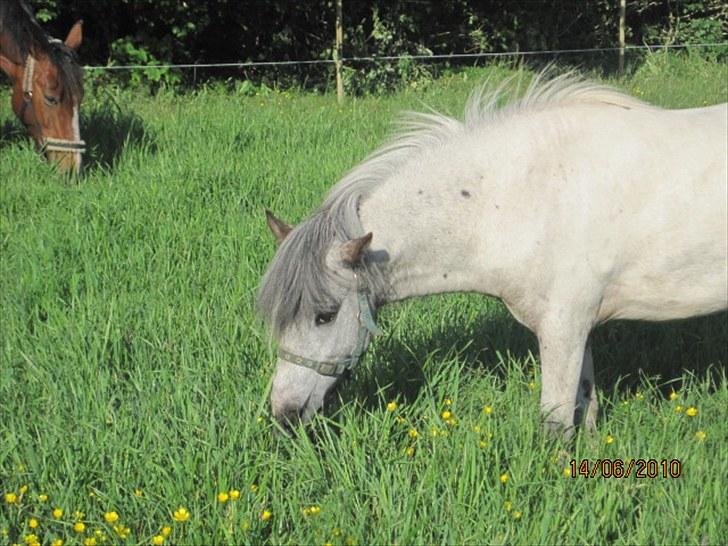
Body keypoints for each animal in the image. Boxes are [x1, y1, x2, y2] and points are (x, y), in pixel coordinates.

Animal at [257, 72, 728, 437]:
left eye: (324, 316)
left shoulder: (563, 327)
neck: (518, 195)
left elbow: (556, 421)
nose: (284, 414)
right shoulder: (577, 328)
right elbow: (586, 406)